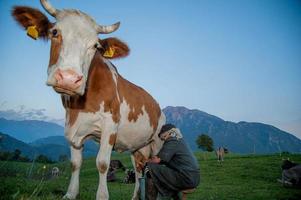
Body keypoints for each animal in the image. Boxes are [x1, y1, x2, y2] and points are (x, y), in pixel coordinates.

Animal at [11, 0, 164, 199]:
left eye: (96, 46)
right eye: (55, 32)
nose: (69, 79)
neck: (78, 107)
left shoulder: (110, 125)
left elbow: (102, 163)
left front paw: (102, 195)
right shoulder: (72, 128)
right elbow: (75, 163)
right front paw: (70, 193)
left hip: (159, 141)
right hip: (137, 149)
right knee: (139, 173)